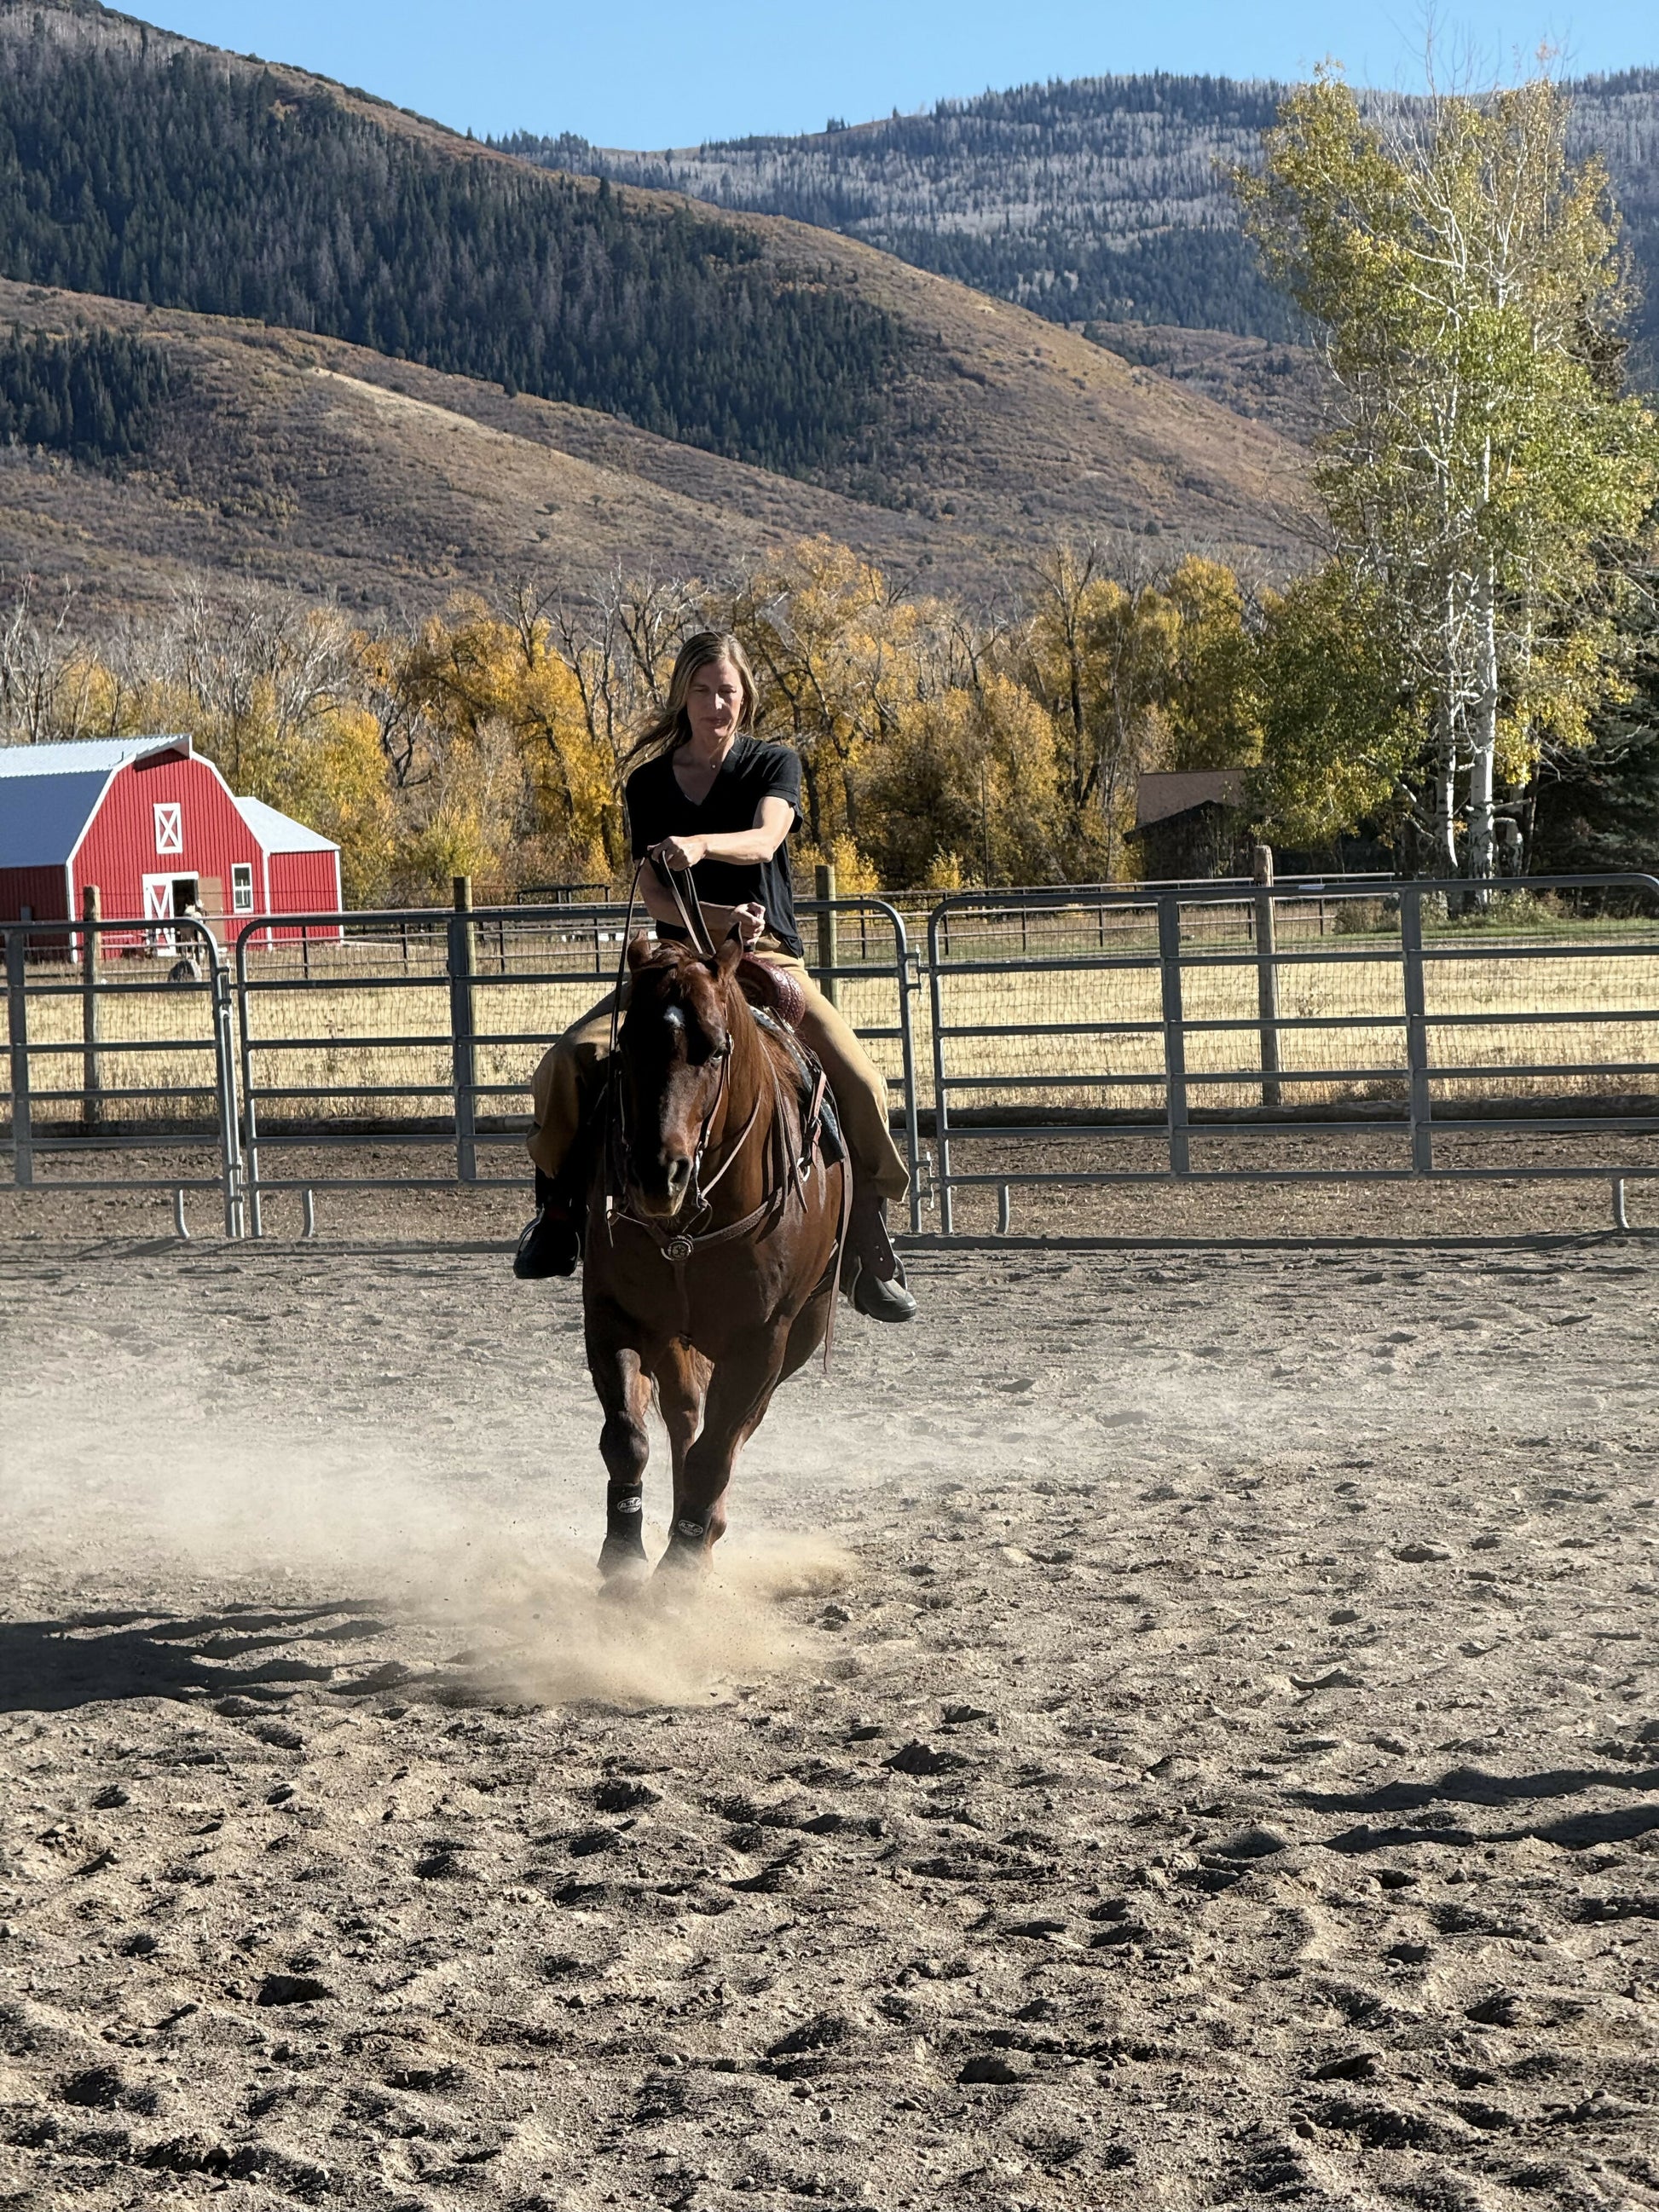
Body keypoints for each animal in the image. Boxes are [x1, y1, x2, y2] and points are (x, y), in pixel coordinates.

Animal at [582, 930, 847, 1580]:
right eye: (627, 1046)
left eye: (717, 1049)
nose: (659, 1174)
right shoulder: (613, 1315)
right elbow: (626, 1435)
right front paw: (623, 1554)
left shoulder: (762, 1340)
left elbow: (718, 1449)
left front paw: (682, 1564)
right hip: (677, 1336)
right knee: (685, 1415)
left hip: (801, 1332)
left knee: (730, 1430)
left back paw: (705, 1527)